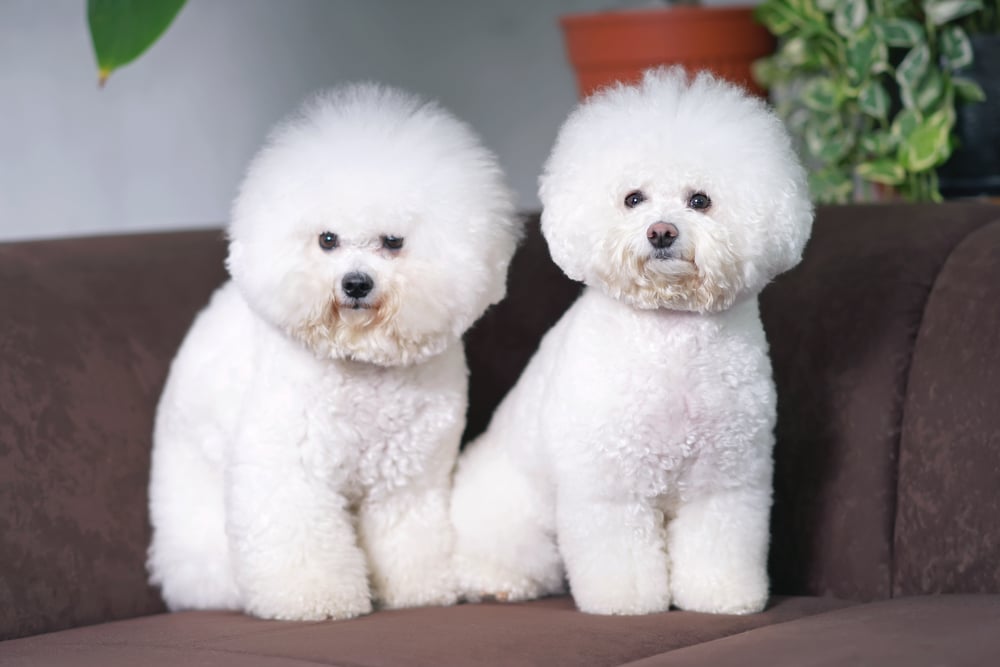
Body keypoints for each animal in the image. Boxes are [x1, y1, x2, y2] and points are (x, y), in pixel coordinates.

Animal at [149, 83, 524, 620]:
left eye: (393, 241)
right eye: (327, 239)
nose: (355, 283)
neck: (363, 364)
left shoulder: (407, 478)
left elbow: (408, 537)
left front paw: (419, 591)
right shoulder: (289, 469)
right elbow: (300, 537)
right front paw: (317, 599)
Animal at [454, 68, 812, 616]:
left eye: (699, 200)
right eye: (633, 198)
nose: (661, 232)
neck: (671, 333)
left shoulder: (725, 482)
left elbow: (719, 543)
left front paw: (720, 595)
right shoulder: (609, 485)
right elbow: (618, 552)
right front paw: (626, 602)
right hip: (512, 514)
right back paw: (495, 582)